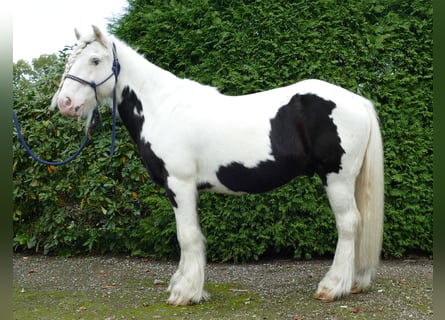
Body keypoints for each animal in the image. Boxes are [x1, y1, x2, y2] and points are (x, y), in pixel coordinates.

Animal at [50, 25, 384, 304]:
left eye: (95, 60)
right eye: (71, 60)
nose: (64, 103)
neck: (163, 107)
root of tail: (357, 100)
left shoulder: (180, 184)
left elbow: (187, 236)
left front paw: (185, 293)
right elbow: (187, 234)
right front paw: (181, 284)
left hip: (337, 178)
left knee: (348, 223)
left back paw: (333, 287)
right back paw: (355, 282)